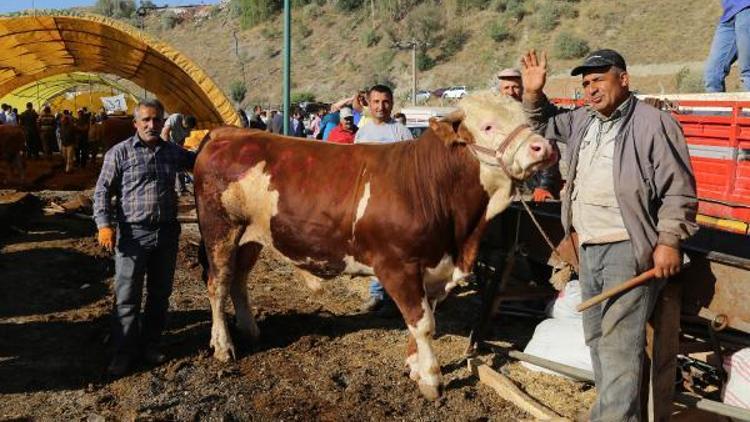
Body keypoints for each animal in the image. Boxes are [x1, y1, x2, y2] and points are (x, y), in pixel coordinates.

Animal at [194, 93, 560, 398]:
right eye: (488, 125)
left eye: (525, 119)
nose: (543, 148)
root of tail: (227, 133)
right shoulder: (398, 266)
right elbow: (423, 323)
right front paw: (431, 379)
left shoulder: (435, 270)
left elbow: (423, 319)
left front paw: (414, 367)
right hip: (220, 230)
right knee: (218, 283)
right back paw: (223, 345)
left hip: (252, 236)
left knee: (239, 281)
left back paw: (250, 329)